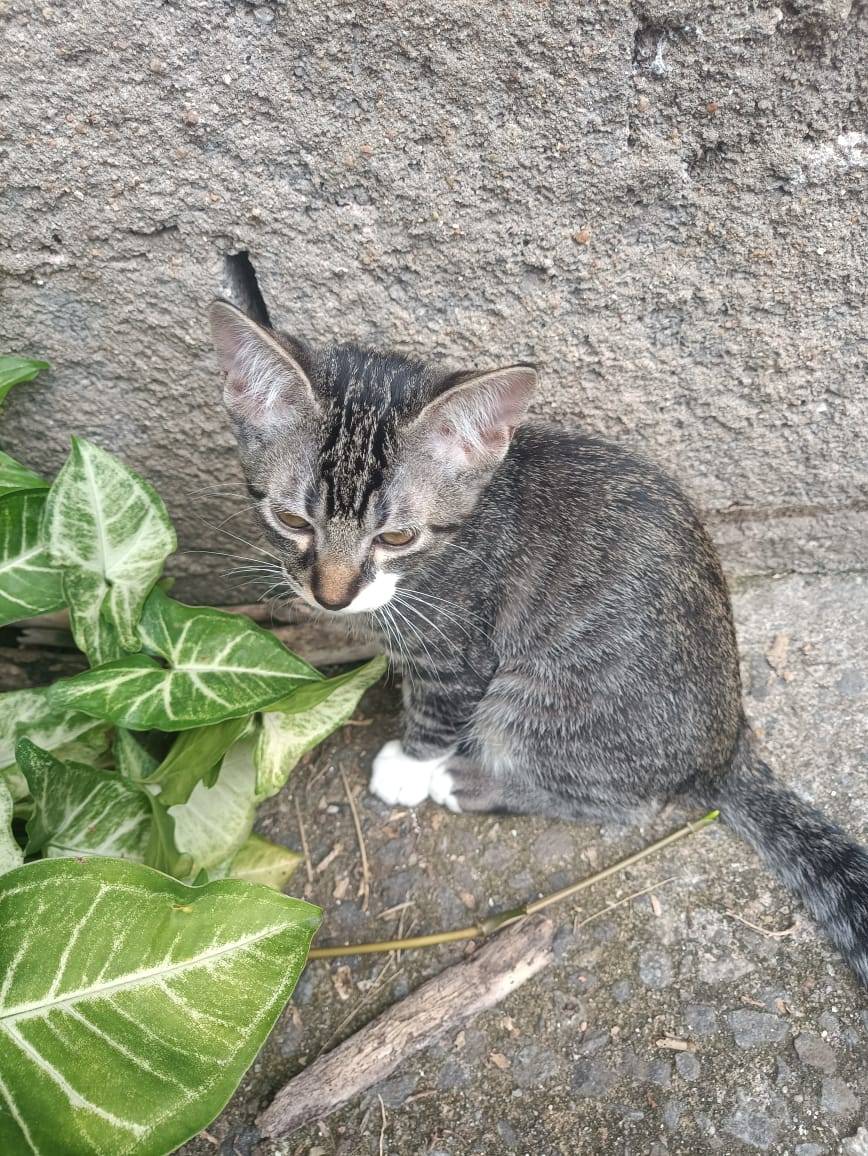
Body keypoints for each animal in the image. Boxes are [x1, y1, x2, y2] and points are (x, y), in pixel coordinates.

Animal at [210, 297, 868, 987]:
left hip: (544, 695)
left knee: (624, 803)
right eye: (291, 520)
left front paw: (411, 766)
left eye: (396, 537)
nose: (331, 597)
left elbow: (438, 709)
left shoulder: (460, 648)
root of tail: (726, 748)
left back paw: (471, 782)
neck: (471, 517)